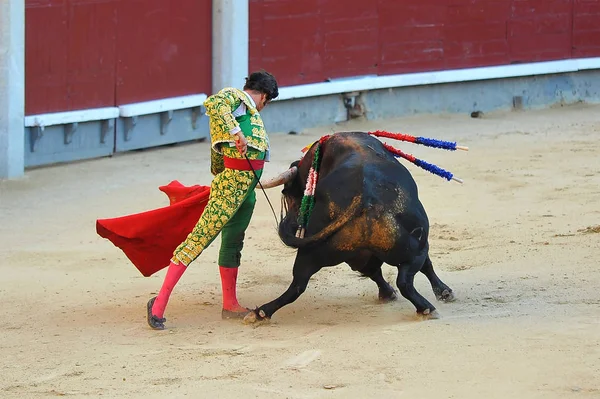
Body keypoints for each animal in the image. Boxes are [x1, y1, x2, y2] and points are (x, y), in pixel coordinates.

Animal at [241, 132, 452, 324]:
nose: (294, 221)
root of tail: (364, 198)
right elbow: (427, 266)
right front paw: (444, 292)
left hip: (316, 252)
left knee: (298, 284)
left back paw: (260, 313)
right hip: (413, 250)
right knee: (405, 280)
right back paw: (426, 308)